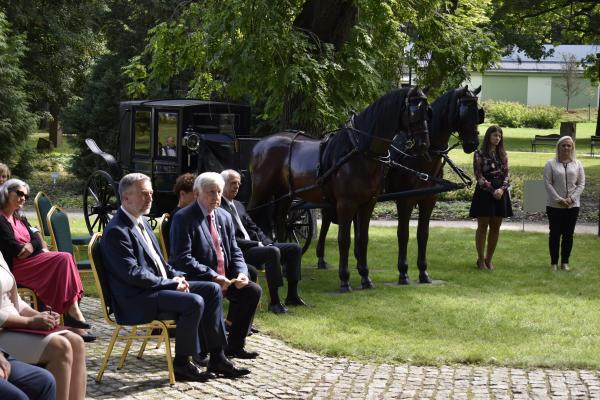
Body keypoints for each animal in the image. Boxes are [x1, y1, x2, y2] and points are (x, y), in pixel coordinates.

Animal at [248, 86, 432, 290]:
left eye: (427, 111)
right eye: (414, 111)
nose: (424, 144)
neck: (360, 152)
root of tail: (261, 144)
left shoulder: (368, 203)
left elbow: (362, 239)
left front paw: (365, 277)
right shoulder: (346, 204)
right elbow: (344, 240)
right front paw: (344, 279)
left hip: (285, 194)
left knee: (281, 221)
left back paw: (284, 268)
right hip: (261, 191)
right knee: (250, 215)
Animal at [316, 86, 486, 282]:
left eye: (478, 113)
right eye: (465, 111)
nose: (473, 144)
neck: (421, 157)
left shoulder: (429, 200)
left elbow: (423, 234)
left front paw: (423, 272)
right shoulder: (405, 200)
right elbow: (403, 234)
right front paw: (403, 272)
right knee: (326, 221)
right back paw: (321, 258)